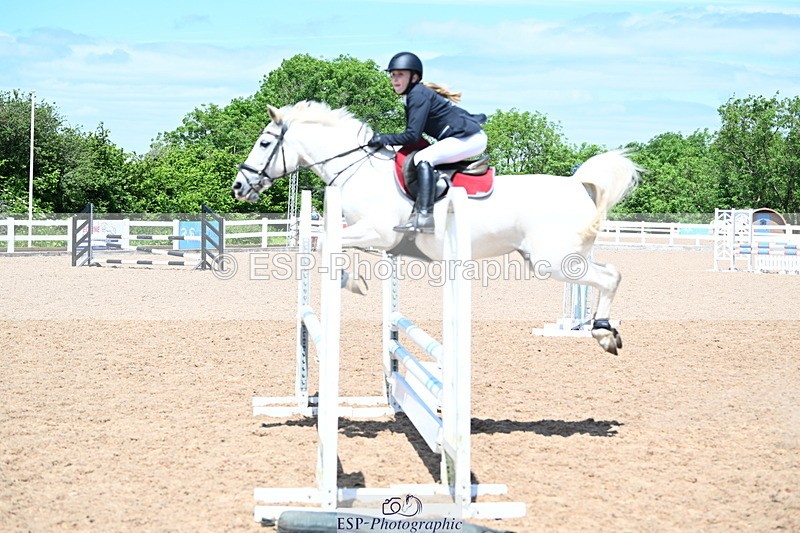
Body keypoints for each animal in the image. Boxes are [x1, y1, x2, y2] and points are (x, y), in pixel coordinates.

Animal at [232, 101, 642, 354]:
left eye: (264, 142)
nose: (238, 186)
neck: (359, 169)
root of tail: (579, 185)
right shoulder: (372, 236)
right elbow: (329, 242)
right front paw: (356, 278)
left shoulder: (379, 231)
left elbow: (324, 243)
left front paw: (354, 282)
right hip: (557, 257)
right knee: (607, 273)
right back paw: (603, 330)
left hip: (552, 261)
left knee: (610, 276)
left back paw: (602, 333)